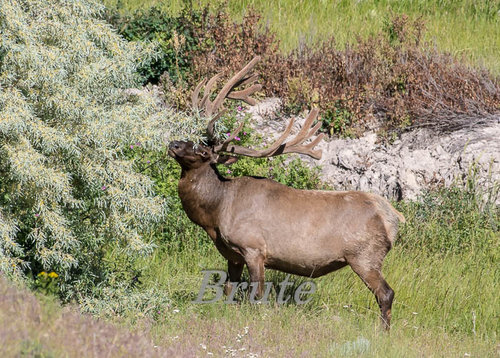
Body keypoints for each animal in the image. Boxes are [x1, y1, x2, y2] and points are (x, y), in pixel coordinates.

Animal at [169, 55, 406, 330]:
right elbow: (228, 290)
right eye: (189, 139)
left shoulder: (254, 248)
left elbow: (257, 295)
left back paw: (383, 331)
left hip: (364, 255)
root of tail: (393, 217)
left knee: (386, 293)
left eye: (203, 152)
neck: (216, 214)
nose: (173, 144)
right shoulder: (233, 255)